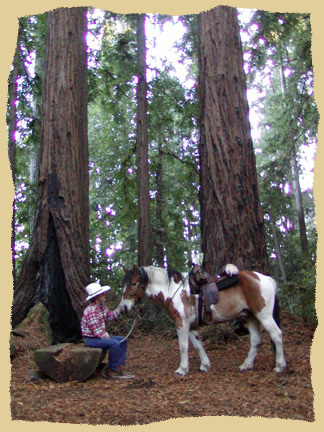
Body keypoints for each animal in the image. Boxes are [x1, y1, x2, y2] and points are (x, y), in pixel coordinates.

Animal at [119, 264, 286, 374]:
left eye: (134, 283)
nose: (124, 307)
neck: (173, 290)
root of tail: (265, 279)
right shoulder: (191, 326)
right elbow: (198, 345)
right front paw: (205, 365)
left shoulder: (182, 323)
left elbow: (183, 346)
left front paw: (182, 369)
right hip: (251, 317)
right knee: (256, 340)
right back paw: (246, 365)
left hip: (264, 315)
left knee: (276, 335)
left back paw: (279, 365)